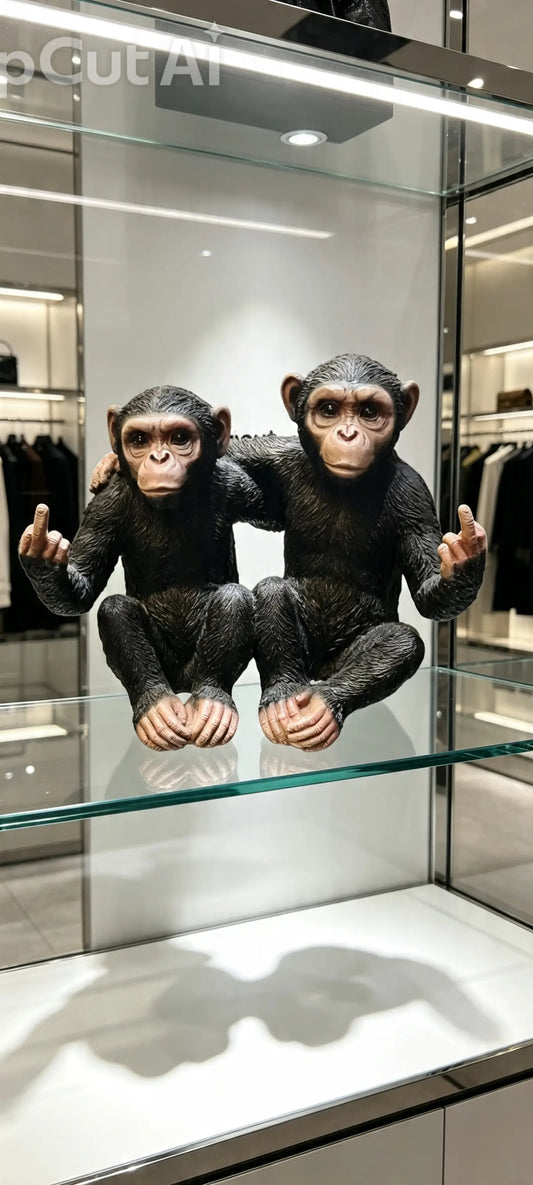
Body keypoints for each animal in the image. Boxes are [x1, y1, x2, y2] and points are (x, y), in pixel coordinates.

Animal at [19, 385, 281, 752]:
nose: (159, 458)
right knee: (115, 608)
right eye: (139, 439)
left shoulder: (235, 485)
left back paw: (211, 703)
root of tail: (182, 686)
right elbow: (84, 586)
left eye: (180, 438)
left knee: (233, 597)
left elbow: (276, 509)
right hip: (166, 670)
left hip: (195, 670)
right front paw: (44, 555)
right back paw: (157, 709)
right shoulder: (106, 506)